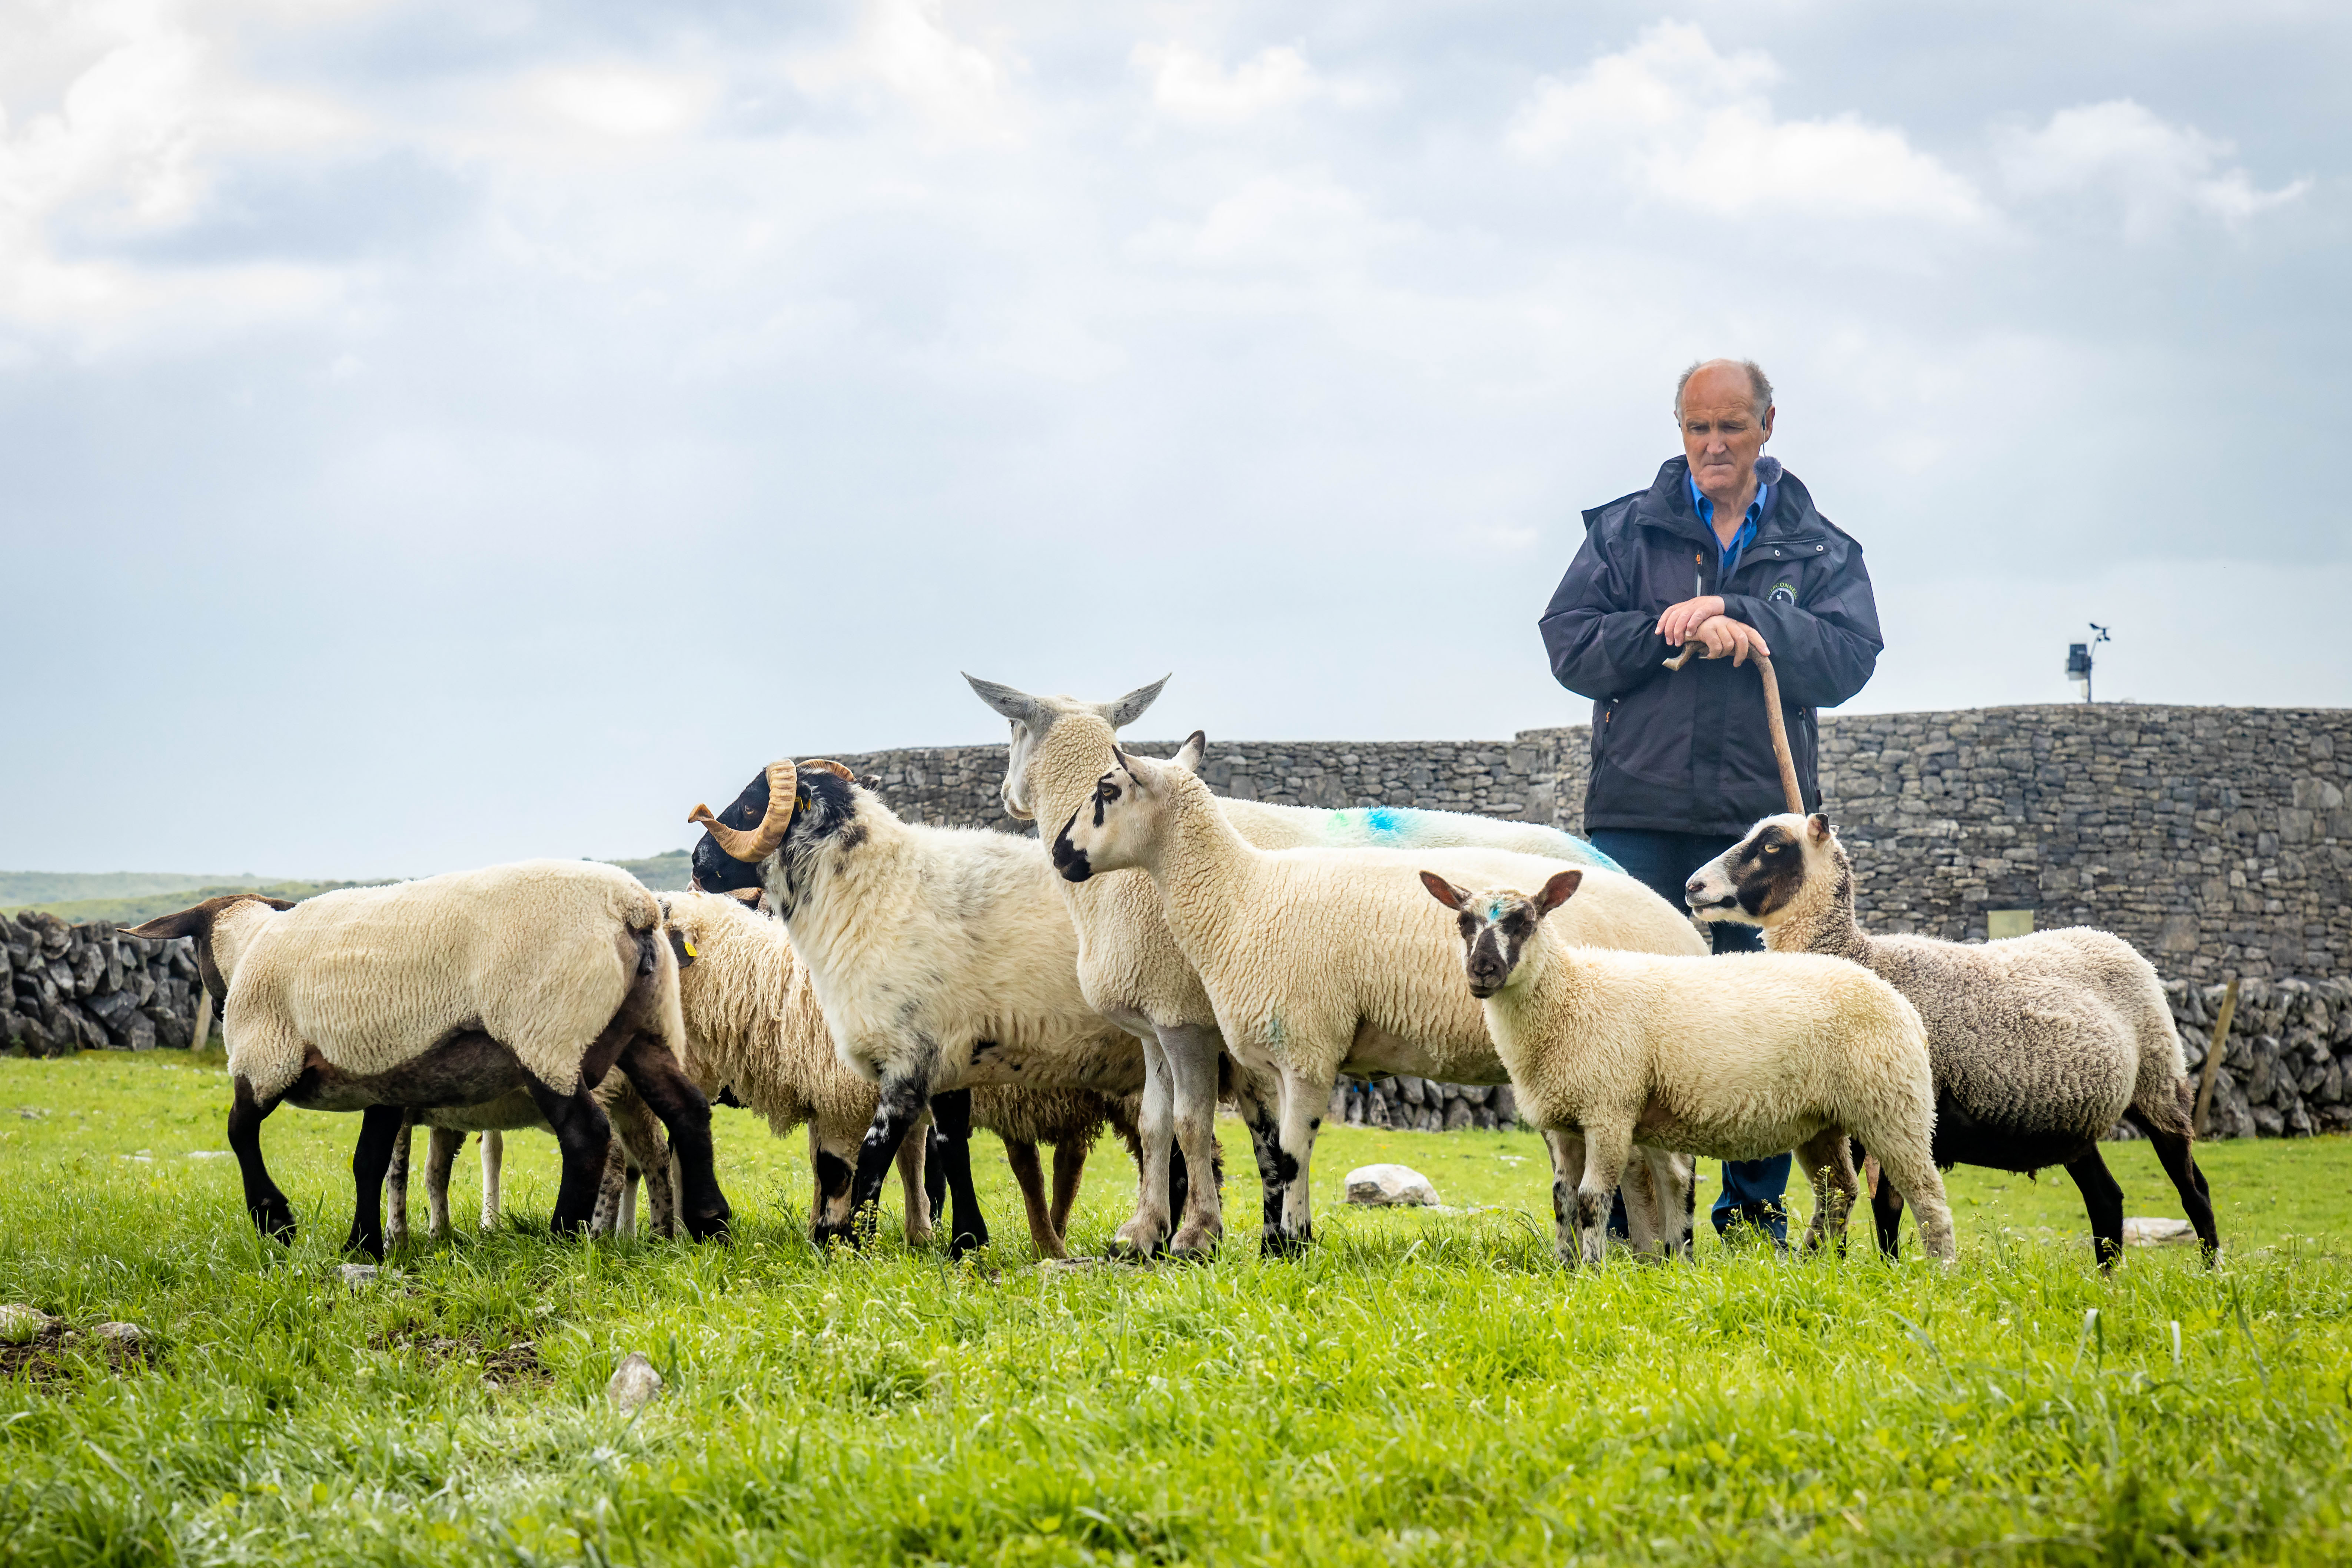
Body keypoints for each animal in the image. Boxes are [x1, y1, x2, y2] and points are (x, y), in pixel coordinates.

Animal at [128, 860, 731, 1257]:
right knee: (687, 1110)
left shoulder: (264, 1059)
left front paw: (276, 1220)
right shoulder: (386, 1078)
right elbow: (369, 1163)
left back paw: (564, 1233)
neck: (249, 946)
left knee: (586, 1132)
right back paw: (710, 1222)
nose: (219, 1006)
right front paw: (364, 1245)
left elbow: (239, 1132)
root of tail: (635, 909)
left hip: (545, 1031)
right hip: (646, 1027)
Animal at [685, 760, 1150, 1251]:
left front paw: (855, 1245)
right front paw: (966, 1242)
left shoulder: (909, 1055)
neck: (877, 890)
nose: (697, 862)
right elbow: (951, 1146)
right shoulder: (953, 1053)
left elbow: (874, 1156)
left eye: (751, 806)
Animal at [966, 673, 1661, 1260]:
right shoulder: (1158, 1026)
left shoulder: (1188, 1022)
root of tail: (1617, 866)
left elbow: (1196, 1127)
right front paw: (1147, 1233)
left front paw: (1196, 1234)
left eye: (1012, 730)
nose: (1056, 849)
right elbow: (1160, 1125)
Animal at [1419, 865, 1955, 1265]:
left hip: (1893, 1106)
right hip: (1823, 1120)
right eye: (1463, 924)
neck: (1570, 995)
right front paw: (1563, 1268)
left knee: (1928, 1196)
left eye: (1525, 921)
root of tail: (1895, 998)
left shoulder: (1610, 1112)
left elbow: (1592, 1201)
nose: (1483, 972)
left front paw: (1592, 1271)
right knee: (1839, 1190)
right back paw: (1815, 1263)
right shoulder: (1564, 1123)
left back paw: (1940, 1271)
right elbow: (1563, 1202)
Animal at [1685, 812, 2219, 1265]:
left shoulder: (1899, 1110)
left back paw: (2212, 1271)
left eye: (1773, 845)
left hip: (2159, 1083)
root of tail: (2110, 938)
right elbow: (1856, 1199)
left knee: (2194, 1189)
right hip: (2071, 1115)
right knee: (2107, 1197)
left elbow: (1884, 1204)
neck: (1860, 954)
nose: (1693, 886)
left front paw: (1883, 1270)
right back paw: (2107, 1282)